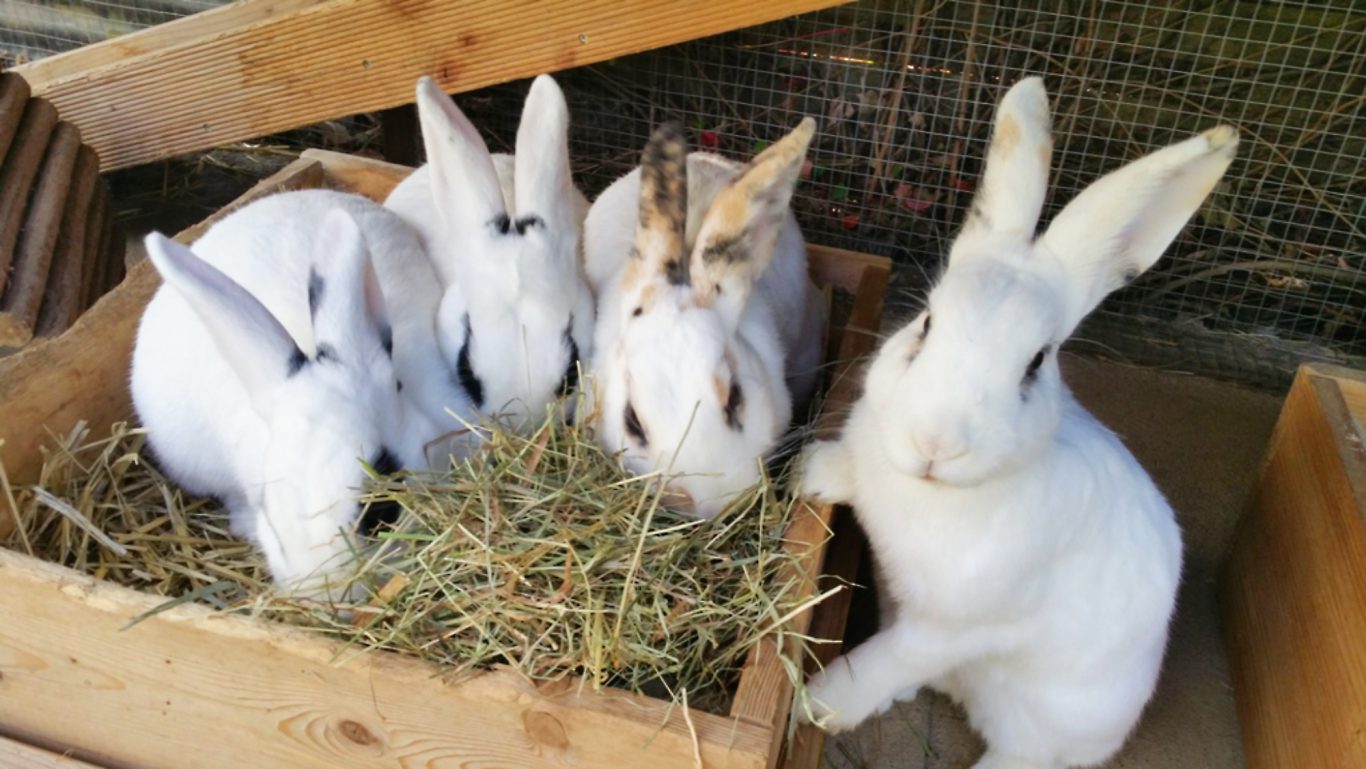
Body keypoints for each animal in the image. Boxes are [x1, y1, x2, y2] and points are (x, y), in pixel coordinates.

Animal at [798, 77, 1238, 769]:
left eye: (1036, 363)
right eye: (927, 323)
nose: (935, 442)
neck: (929, 491)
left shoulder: (951, 628)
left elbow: (881, 663)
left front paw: (818, 706)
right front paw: (810, 474)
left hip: (1044, 729)